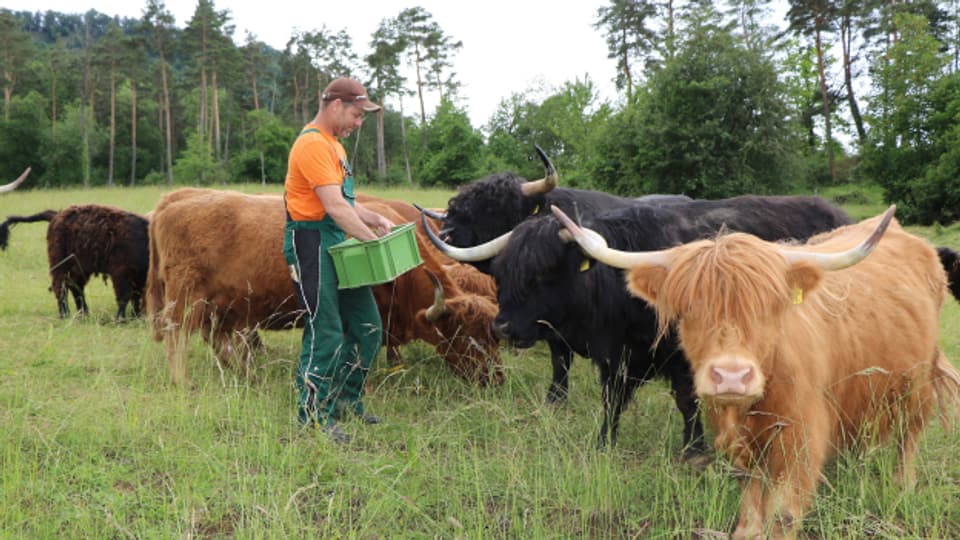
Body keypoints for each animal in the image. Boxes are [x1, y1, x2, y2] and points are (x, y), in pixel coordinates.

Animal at [148, 189, 502, 388]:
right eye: (467, 338)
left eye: (492, 337)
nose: (495, 378)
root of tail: (169, 206)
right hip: (186, 298)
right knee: (177, 336)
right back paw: (184, 382)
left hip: (223, 306)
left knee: (220, 342)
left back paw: (249, 378)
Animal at [424, 195, 852, 456]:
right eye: (501, 274)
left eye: (543, 273)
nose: (504, 327)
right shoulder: (615, 357)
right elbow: (611, 400)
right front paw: (604, 442)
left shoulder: (681, 357)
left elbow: (686, 400)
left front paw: (694, 451)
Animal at [552, 205, 960, 536]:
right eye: (689, 309)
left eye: (768, 306)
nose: (731, 377)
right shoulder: (739, 442)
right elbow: (750, 505)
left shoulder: (800, 439)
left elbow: (783, 515)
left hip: (918, 383)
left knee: (909, 435)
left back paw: (902, 485)